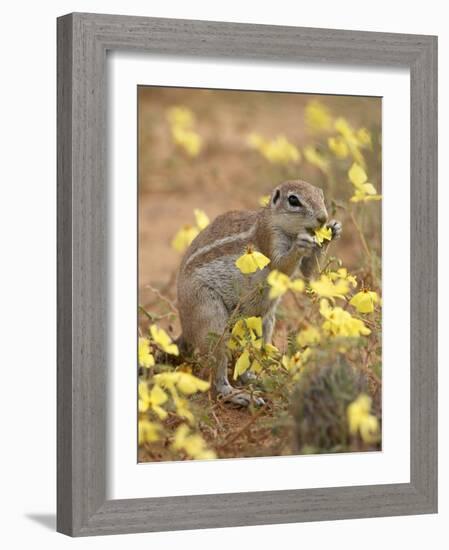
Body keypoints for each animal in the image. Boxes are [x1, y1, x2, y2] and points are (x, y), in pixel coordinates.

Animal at [177, 182, 342, 410]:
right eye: (293, 200)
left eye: (321, 195)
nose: (323, 218)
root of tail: (185, 327)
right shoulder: (269, 238)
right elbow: (280, 265)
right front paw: (300, 245)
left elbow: (310, 273)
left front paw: (333, 230)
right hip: (210, 317)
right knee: (217, 377)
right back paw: (237, 394)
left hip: (263, 323)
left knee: (247, 359)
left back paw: (258, 378)